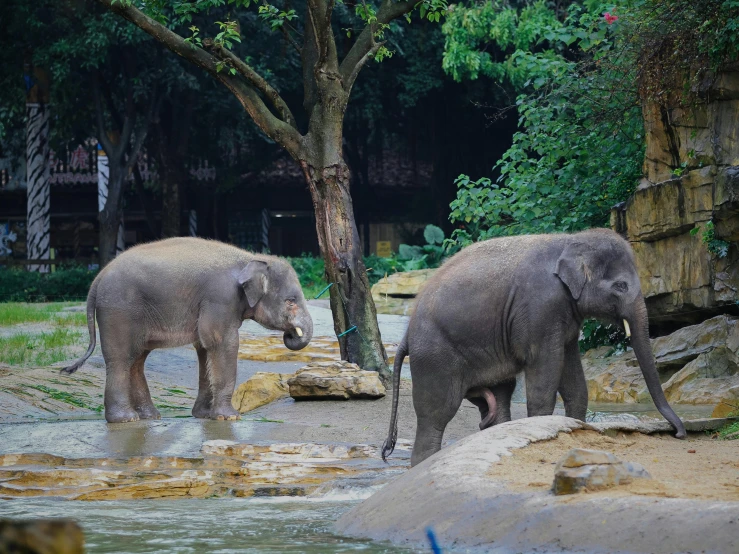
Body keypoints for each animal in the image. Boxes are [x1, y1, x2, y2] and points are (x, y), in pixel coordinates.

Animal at [64, 235, 316, 420]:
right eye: (291, 301)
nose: (290, 333)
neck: (250, 258)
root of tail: (97, 278)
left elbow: (204, 348)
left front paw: (204, 416)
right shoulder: (220, 298)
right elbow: (222, 342)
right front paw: (230, 417)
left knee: (137, 359)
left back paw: (150, 417)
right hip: (119, 311)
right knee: (121, 359)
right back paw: (126, 419)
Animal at [382, 226, 688, 464]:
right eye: (621, 286)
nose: (679, 433)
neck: (570, 240)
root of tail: (407, 334)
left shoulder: (565, 316)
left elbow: (573, 377)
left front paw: (576, 428)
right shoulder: (541, 307)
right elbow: (545, 368)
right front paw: (544, 427)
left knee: (498, 400)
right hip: (435, 356)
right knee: (437, 414)